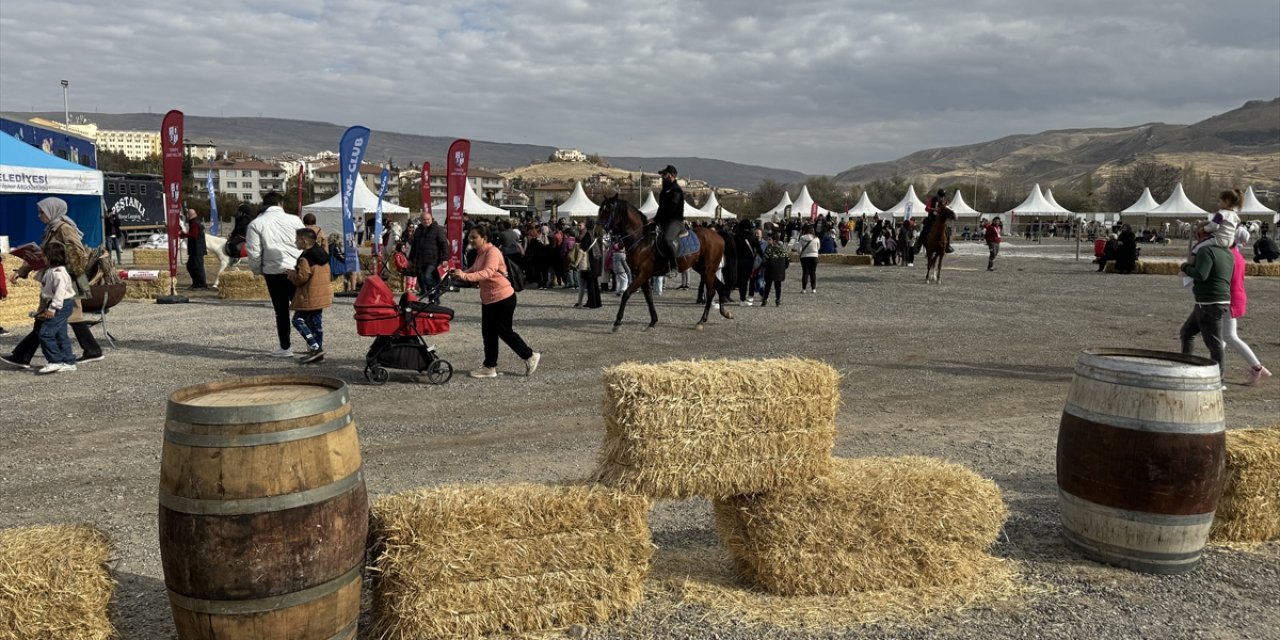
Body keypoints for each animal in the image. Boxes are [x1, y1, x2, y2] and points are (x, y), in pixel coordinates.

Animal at [599, 194, 742, 332]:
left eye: (608, 210)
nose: (598, 231)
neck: (641, 241)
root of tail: (718, 235)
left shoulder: (642, 274)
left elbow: (626, 294)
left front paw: (617, 322)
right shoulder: (643, 276)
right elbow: (649, 297)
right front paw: (653, 322)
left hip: (708, 270)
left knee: (712, 292)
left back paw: (701, 321)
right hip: (703, 269)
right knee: (720, 287)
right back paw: (725, 312)